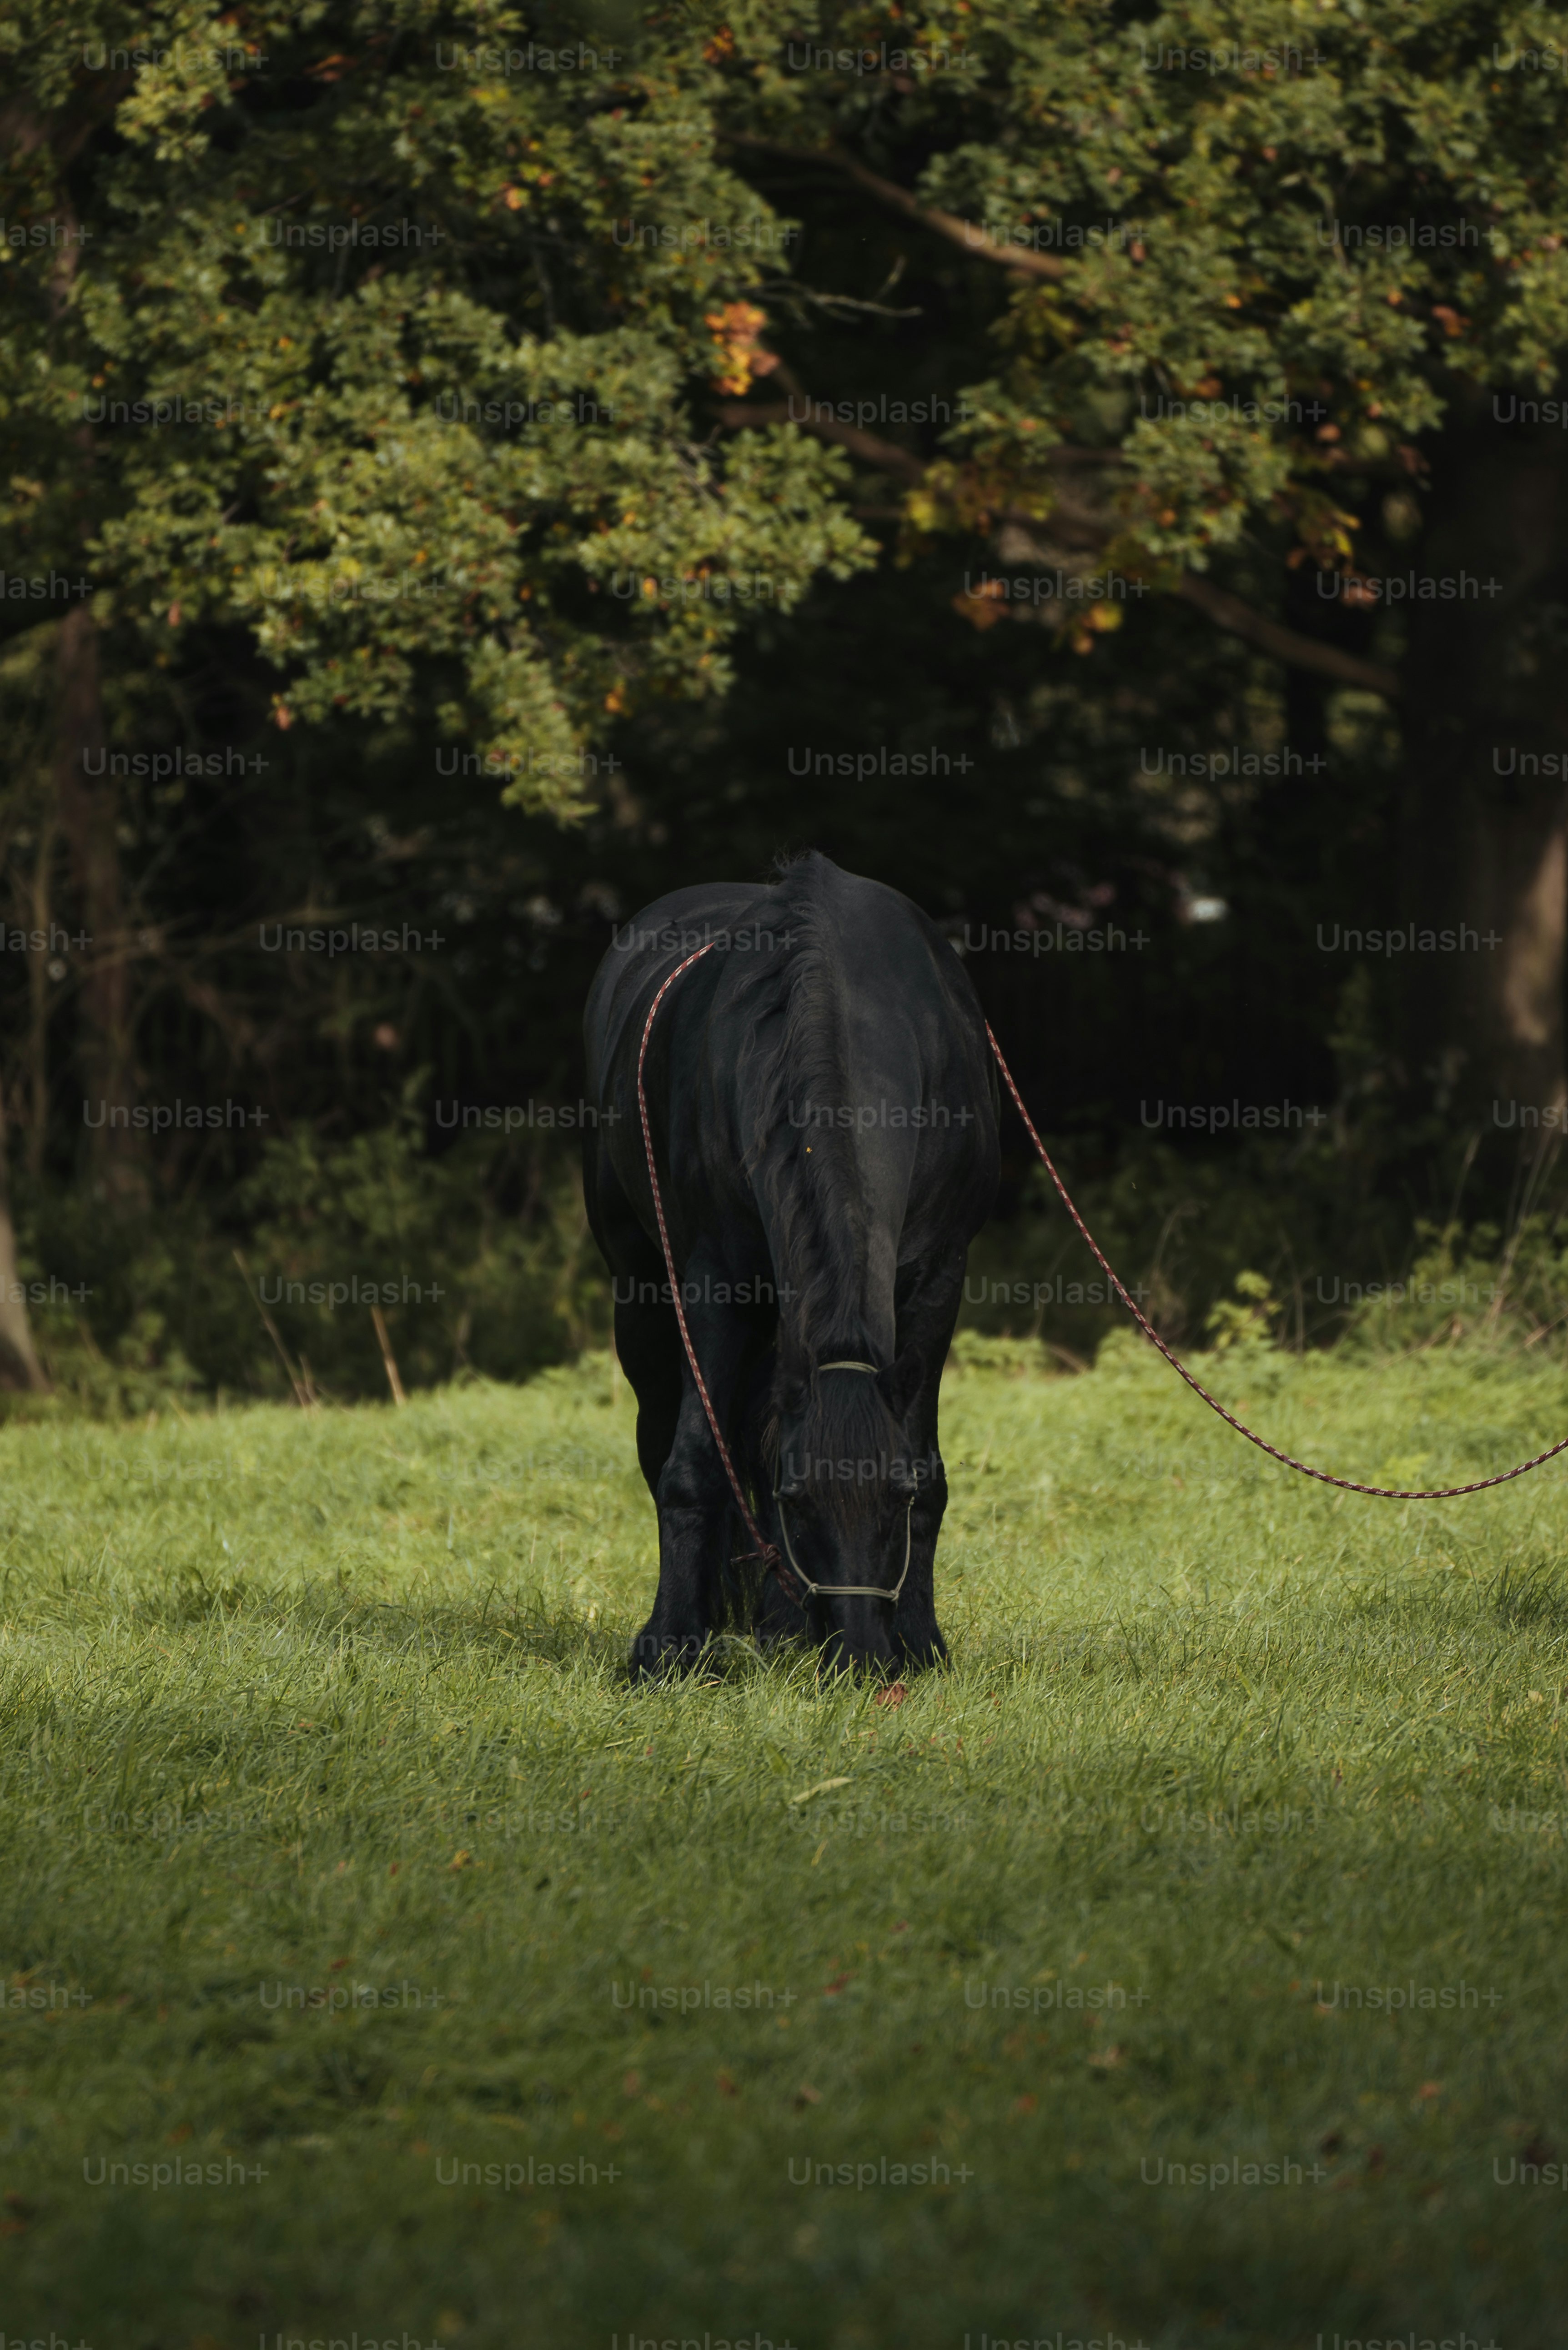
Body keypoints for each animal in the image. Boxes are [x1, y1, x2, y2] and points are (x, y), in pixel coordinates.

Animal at [582, 851, 999, 1677]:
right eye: (798, 1500)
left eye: (896, 1499)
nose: (864, 1657)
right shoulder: (716, 1281)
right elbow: (694, 1464)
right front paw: (668, 1644)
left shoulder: (938, 1277)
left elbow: (927, 1463)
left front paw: (921, 1639)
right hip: (642, 1291)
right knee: (664, 1431)